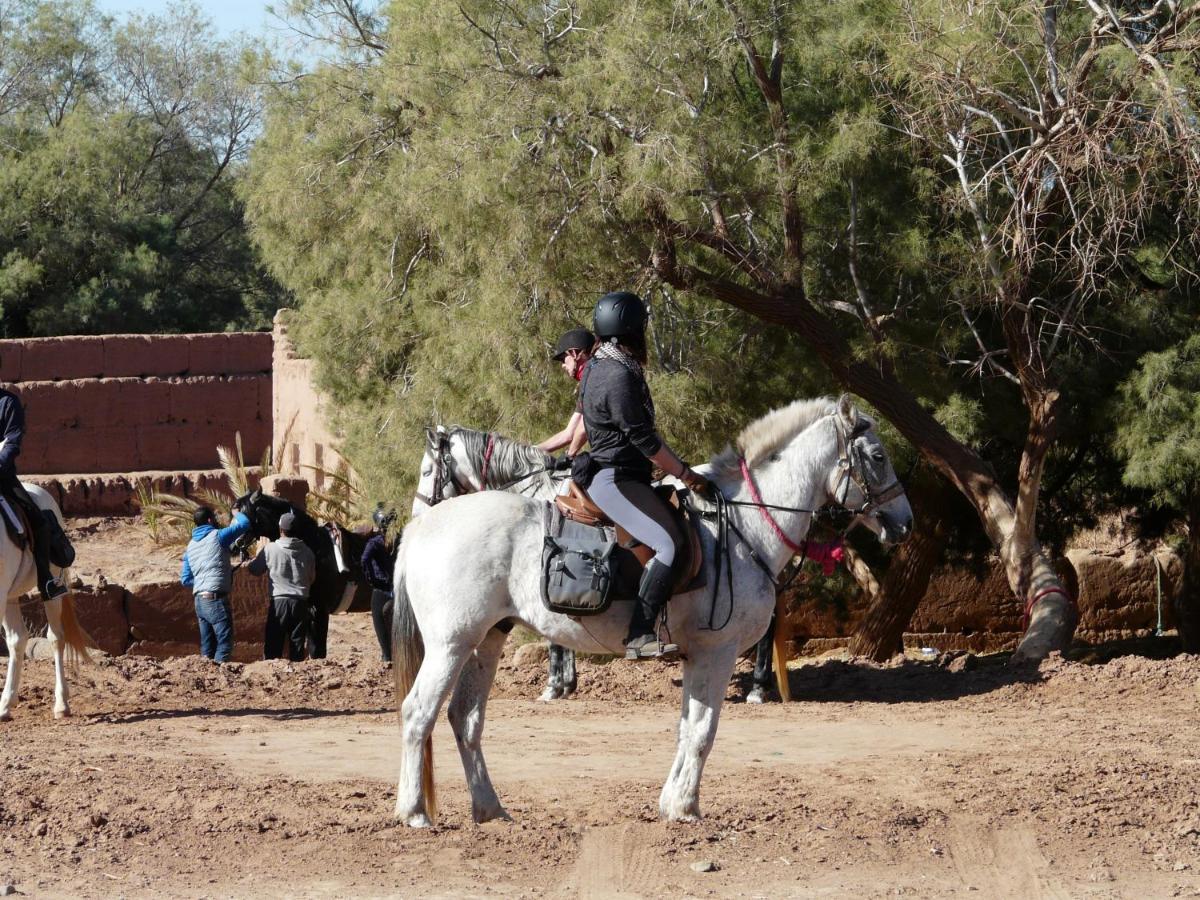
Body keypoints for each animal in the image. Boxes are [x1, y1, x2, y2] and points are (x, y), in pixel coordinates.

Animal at [0, 482, 91, 724]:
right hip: (10, 596)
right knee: (17, 640)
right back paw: (6, 705)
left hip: (52, 587)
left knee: (56, 638)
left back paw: (61, 705)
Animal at [391, 396, 907, 825]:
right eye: (878, 457)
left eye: (429, 470)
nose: (904, 521)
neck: (743, 523)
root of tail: (422, 528)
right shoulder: (717, 652)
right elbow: (703, 732)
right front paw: (685, 808)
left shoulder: (699, 655)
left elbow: (687, 728)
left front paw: (673, 802)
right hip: (451, 644)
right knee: (418, 713)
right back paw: (414, 812)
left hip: (486, 641)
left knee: (464, 719)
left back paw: (490, 810)